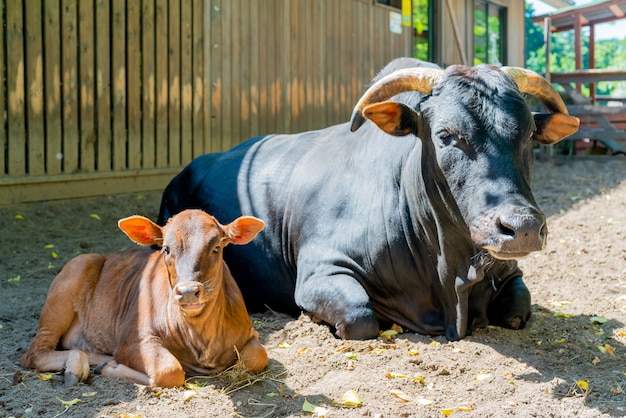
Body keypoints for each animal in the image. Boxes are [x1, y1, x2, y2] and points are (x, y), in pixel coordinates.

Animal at [20, 209, 266, 388]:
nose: (187, 291)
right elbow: (170, 372)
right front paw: (113, 367)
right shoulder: (133, 340)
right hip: (73, 274)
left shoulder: (250, 333)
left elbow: (258, 357)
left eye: (216, 248)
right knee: (33, 353)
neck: (202, 340)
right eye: (166, 249)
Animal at [158, 58, 576, 340]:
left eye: (529, 134)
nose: (522, 227)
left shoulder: (509, 272)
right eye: (445, 135)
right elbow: (360, 317)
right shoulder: (319, 271)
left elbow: (519, 307)